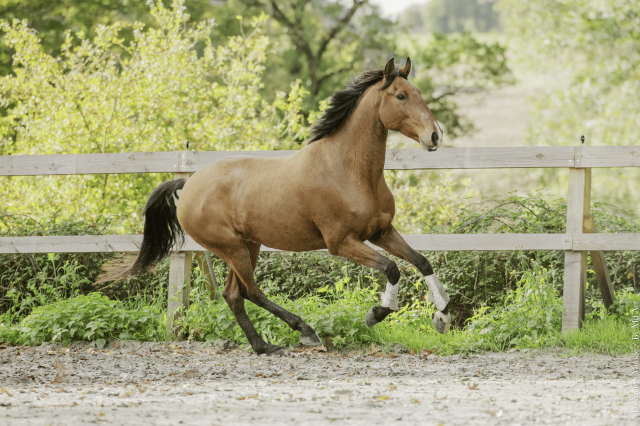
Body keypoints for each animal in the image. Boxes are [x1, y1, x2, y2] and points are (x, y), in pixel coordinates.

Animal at [117, 57, 452, 356]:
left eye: (418, 92)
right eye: (400, 95)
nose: (435, 135)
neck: (348, 170)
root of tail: (187, 186)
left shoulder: (381, 232)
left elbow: (421, 261)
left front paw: (442, 317)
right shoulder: (342, 242)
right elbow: (392, 268)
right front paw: (377, 314)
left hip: (247, 245)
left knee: (233, 295)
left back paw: (264, 346)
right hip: (231, 247)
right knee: (250, 291)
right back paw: (305, 331)